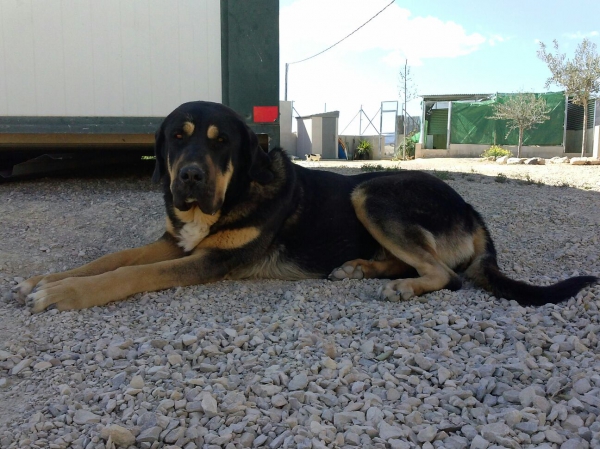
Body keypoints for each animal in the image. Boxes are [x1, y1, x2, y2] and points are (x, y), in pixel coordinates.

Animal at [14, 100, 596, 312]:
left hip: (372, 191)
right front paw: (41, 279)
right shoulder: (173, 240)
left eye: (220, 143)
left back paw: (397, 285)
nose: (190, 177)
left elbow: (126, 275)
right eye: (177, 138)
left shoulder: (206, 260)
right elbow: (110, 260)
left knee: (445, 275)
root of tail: (473, 209)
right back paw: (359, 268)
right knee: (419, 262)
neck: (228, 198)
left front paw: (60, 294)